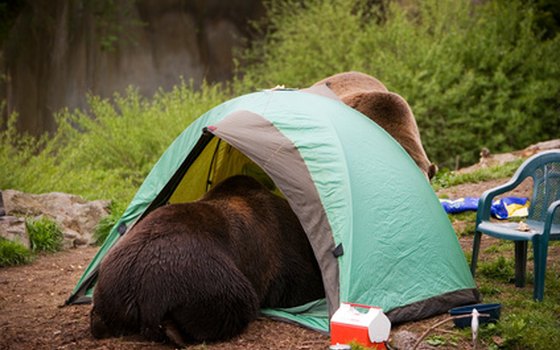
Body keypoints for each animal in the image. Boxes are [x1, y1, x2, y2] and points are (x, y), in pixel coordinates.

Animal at [91, 175, 324, 344]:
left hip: (111, 281)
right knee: (235, 303)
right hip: (198, 277)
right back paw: (175, 331)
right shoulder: (282, 252)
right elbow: (300, 285)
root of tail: (135, 285)